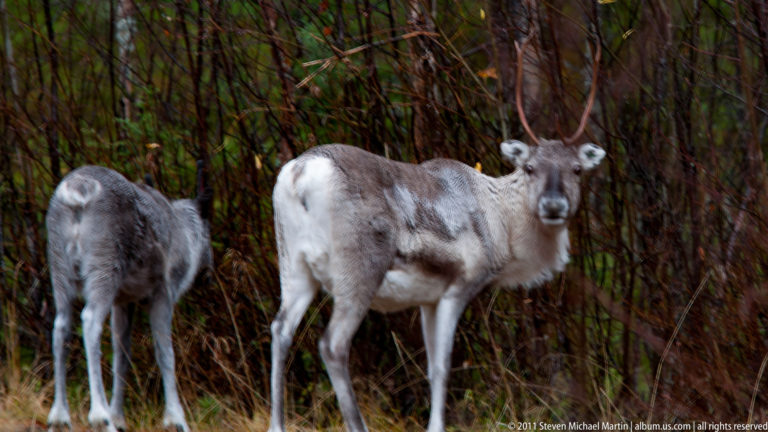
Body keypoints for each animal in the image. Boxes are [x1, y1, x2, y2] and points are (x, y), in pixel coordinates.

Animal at [46, 162, 213, 432]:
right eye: (209, 231)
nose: (207, 274)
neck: (184, 235)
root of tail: (77, 193)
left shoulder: (123, 301)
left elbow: (121, 357)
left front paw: (119, 417)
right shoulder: (163, 293)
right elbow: (165, 354)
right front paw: (176, 419)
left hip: (60, 271)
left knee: (61, 327)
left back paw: (60, 417)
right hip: (104, 269)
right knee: (90, 322)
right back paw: (99, 416)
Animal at [268, 38, 605, 432]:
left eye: (577, 169)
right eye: (530, 167)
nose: (553, 205)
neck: (502, 228)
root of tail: (299, 176)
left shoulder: (427, 298)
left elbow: (430, 369)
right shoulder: (460, 283)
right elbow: (443, 368)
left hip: (292, 263)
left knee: (280, 329)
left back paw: (276, 424)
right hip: (359, 266)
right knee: (333, 344)